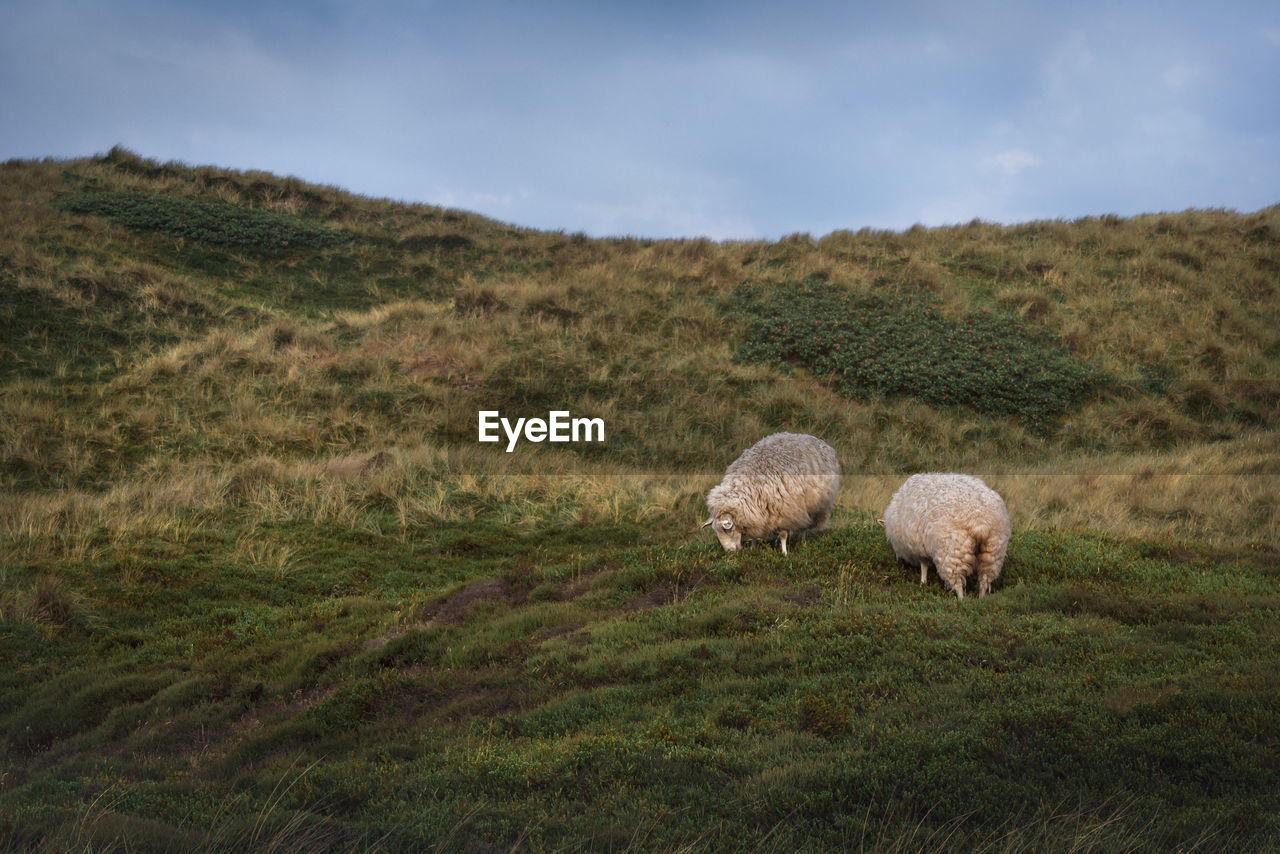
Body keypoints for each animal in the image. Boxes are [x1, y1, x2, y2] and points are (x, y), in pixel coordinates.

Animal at [701, 435, 839, 555]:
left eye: (726, 529)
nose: (730, 552)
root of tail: (816, 439)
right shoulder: (758, 513)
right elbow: (755, 532)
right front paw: (753, 548)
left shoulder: (785, 511)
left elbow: (783, 534)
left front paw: (784, 553)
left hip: (812, 505)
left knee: (805, 525)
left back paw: (803, 541)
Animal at [880, 473, 1008, 601]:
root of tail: (980, 522)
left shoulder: (919, 547)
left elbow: (923, 566)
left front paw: (923, 583)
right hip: (993, 552)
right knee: (984, 581)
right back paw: (981, 599)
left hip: (953, 553)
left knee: (957, 582)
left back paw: (961, 600)